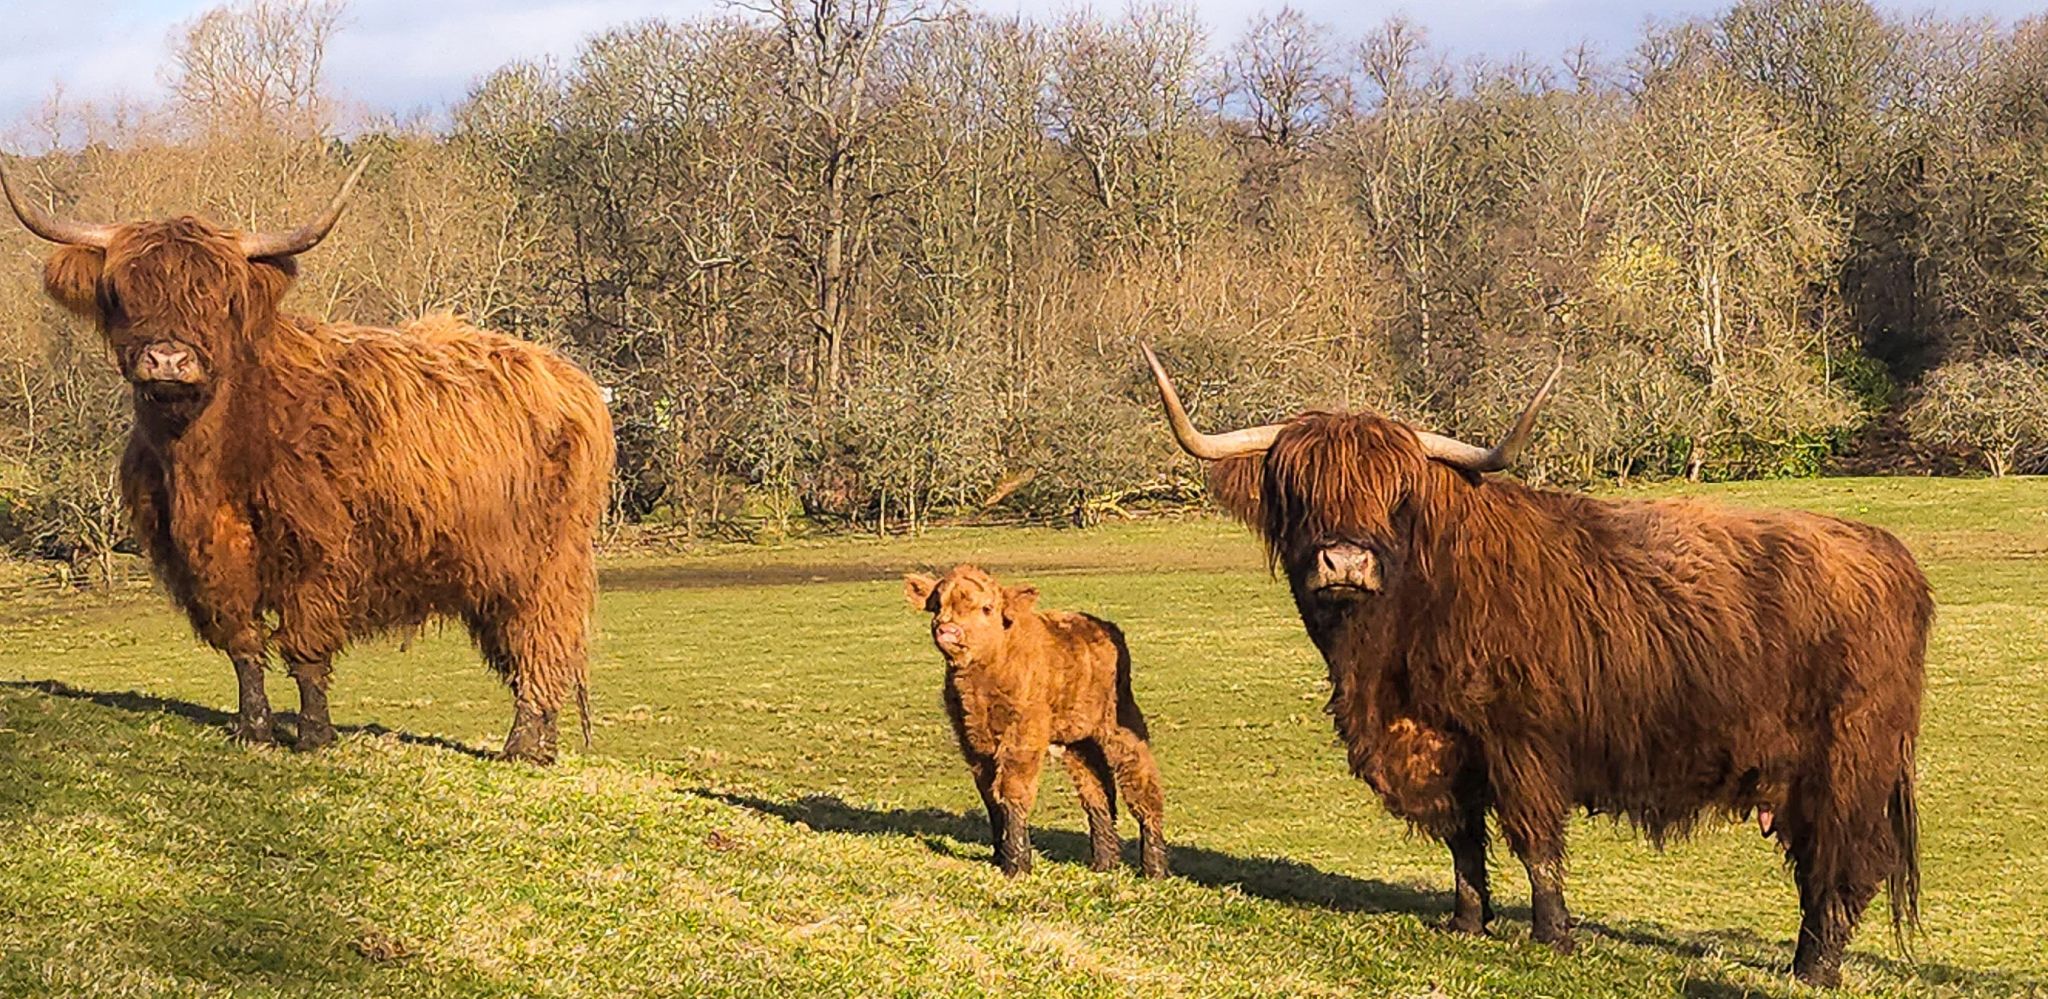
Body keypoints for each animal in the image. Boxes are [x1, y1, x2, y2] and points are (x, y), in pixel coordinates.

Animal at [8, 157, 614, 765]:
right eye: (123, 292)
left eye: (220, 296)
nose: (168, 359)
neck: (207, 460)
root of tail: (568, 375)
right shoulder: (210, 559)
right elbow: (244, 644)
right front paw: (254, 728)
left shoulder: (318, 551)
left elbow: (305, 645)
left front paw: (315, 734)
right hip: (494, 568)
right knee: (528, 647)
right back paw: (542, 745)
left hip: (549, 560)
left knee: (543, 641)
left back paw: (523, 746)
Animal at [901, 565, 1171, 876]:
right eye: (937, 606)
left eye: (987, 607)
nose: (947, 630)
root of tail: (1102, 626)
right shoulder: (972, 741)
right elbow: (990, 795)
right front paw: (999, 856)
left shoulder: (1022, 735)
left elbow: (1013, 790)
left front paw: (1017, 864)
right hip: (1078, 740)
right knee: (1097, 793)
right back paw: (1104, 863)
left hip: (1121, 724)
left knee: (1142, 784)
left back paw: (1154, 868)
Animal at [1146, 348, 1925, 986]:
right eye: (1298, 489)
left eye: (1396, 494)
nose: (1344, 561)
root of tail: (1886, 552)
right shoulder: (1441, 743)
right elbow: (1463, 837)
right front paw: (1467, 921)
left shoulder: (1522, 738)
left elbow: (1533, 838)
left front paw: (1553, 934)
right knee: (1819, 865)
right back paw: (1802, 963)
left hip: (1849, 762)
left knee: (1846, 864)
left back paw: (1815, 969)